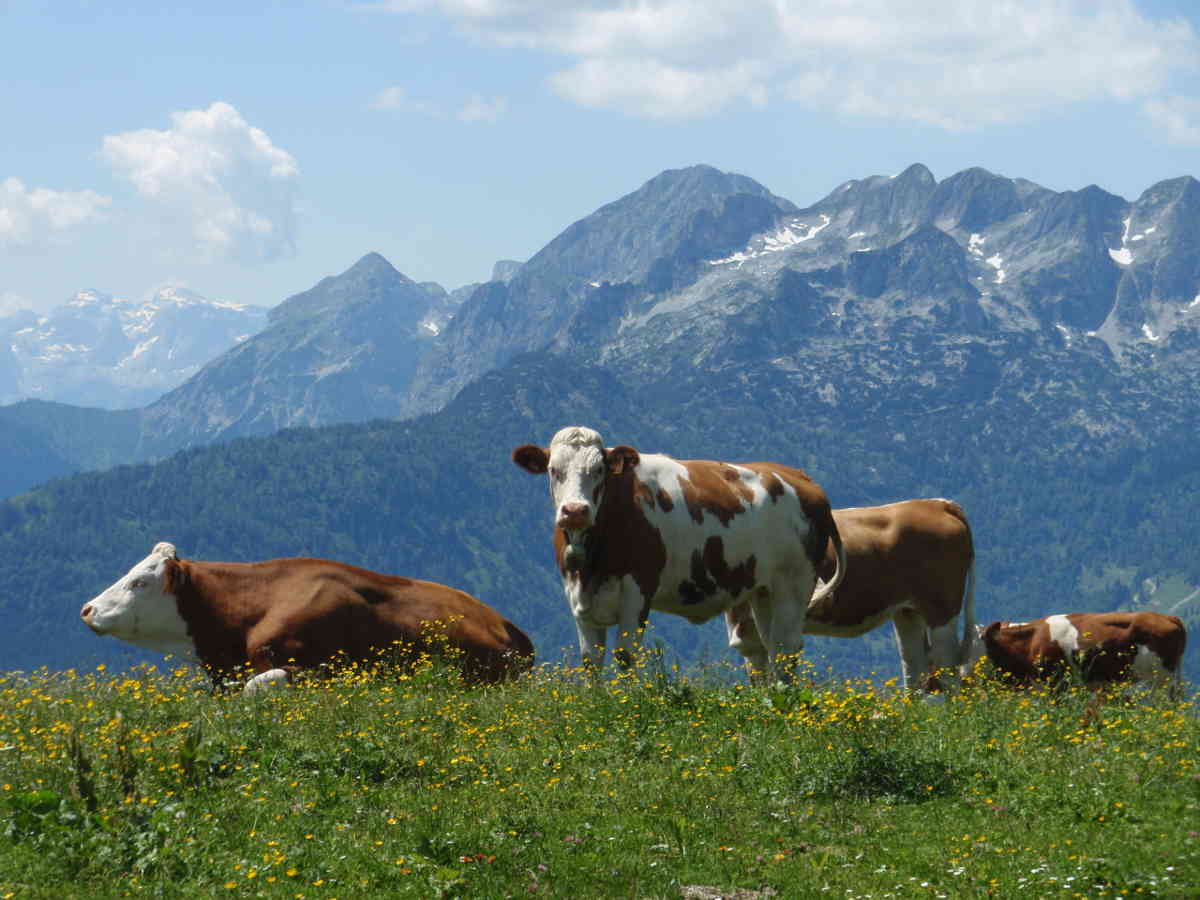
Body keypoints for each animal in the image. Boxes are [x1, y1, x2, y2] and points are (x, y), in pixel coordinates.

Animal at [513, 427, 844, 681]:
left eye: (598, 471)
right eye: (553, 470)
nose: (575, 510)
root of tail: (801, 479)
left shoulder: (638, 590)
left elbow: (625, 656)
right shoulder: (576, 596)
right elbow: (591, 662)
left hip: (794, 584)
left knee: (787, 648)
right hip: (764, 591)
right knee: (772, 647)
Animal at [720, 496, 974, 696]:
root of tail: (937, 504)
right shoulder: (749, 640)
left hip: (942, 607)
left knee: (946, 666)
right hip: (907, 611)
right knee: (913, 665)